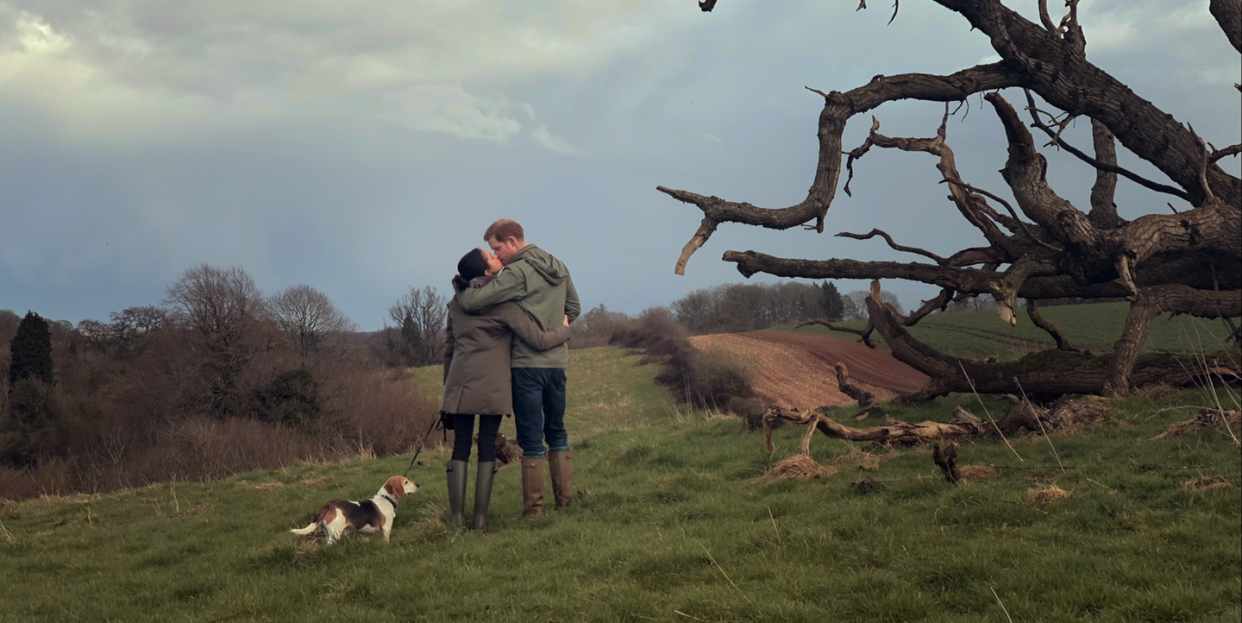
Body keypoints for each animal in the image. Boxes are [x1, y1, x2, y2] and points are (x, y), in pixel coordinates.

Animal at [291, 476, 422, 546]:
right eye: (406, 482)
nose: (418, 484)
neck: (386, 498)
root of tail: (329, 505)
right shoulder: (386, 529)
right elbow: (386, 540)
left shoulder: (366, 534)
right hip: (335, 534)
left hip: (328, 533)